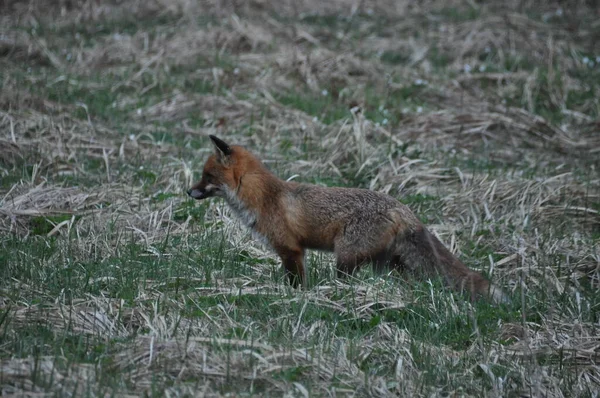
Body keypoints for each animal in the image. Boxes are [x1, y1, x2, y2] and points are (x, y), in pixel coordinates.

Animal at [188, 135, 506, 304]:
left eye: (207, 176)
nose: (188, 191)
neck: (264, 197)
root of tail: (403, 208)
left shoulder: (291, 249)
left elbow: (296, 280)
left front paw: (296, 297)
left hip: (346, 258)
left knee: (347, 279)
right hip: (391, 265)